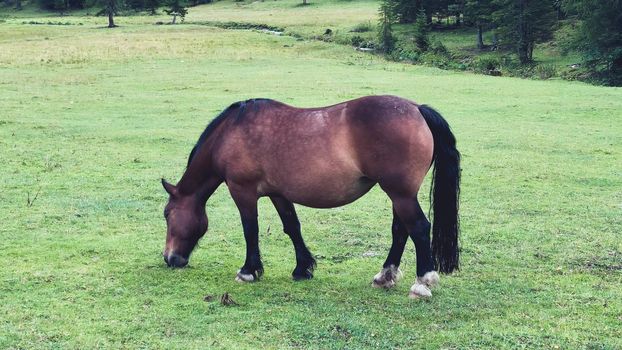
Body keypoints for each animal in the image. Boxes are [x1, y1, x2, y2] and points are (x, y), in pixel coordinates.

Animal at [162, 95, 464, 298]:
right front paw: (303, 268)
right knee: (401, 230)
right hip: (399, 195)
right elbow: (292, 227)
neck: (232, 132)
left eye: (167, 214)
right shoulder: (279, 193)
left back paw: (422, 282)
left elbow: (251, 230)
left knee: (419, 228)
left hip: (400, 193)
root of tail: (417, 109)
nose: (170, 258)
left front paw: (248, 271)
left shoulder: (242, 191)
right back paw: (385, 276)